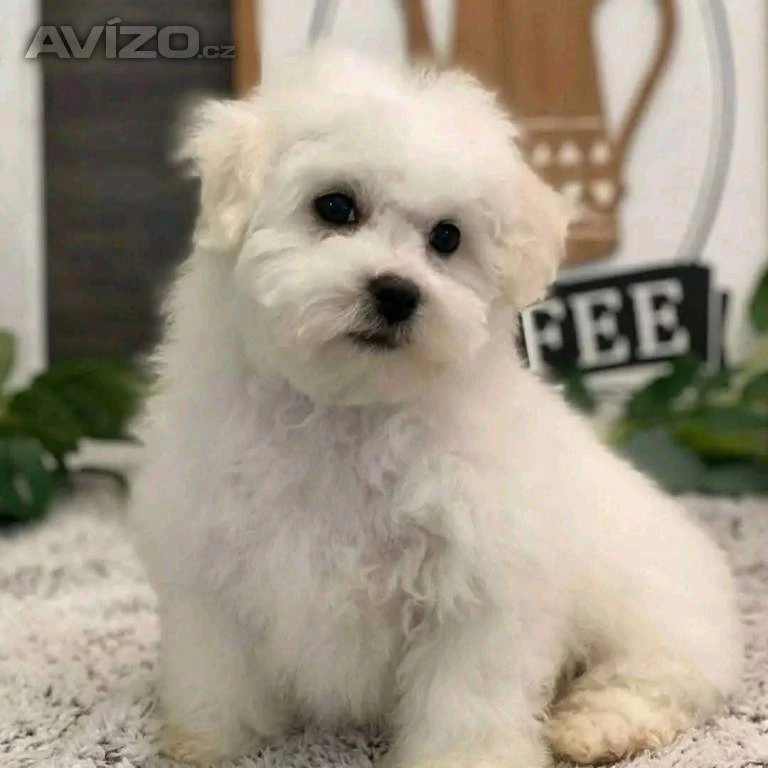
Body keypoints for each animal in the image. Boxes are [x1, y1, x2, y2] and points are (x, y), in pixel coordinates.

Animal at [131, 50, 741, 767]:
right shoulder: (210, 561)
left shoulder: (478, 587)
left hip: (658, 611)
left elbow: (466, 697)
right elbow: (215, 667)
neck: (350, 408)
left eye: (447, 239)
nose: (397, 292)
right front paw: (206, 740)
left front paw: (469, 759)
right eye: (334, 206)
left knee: (657, 678)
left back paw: (594, 727)